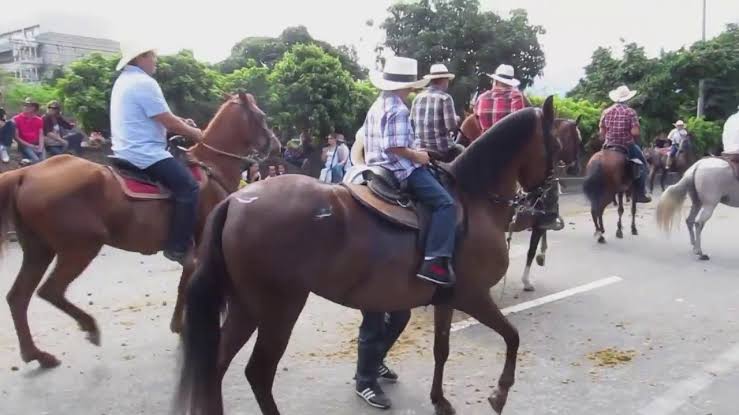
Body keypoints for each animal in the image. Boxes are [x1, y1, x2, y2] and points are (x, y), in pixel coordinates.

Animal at [0, 92, 278, 368]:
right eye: (262, 116)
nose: (276, 145)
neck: (213, 167)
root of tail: (26, 174)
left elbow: (186, 280)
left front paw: (180, 324)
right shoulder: (202, 246)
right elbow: (190, 283)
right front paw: (183, 326)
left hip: (39, 250)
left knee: (18, 297)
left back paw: (36, 354)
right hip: (80, 247)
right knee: (50, 291)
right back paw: (88, 327)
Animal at [176, 96, 556, 415]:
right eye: (555, 144)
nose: (548, 204)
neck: (472, 199)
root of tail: (236, 201)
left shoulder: (446, 299)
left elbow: (442, 349)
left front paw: (440, 400)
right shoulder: (474, 296)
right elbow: (512, 336)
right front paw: (500, 393)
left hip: (245, 305)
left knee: (216, 364)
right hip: (278, 308)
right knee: (258, 372)